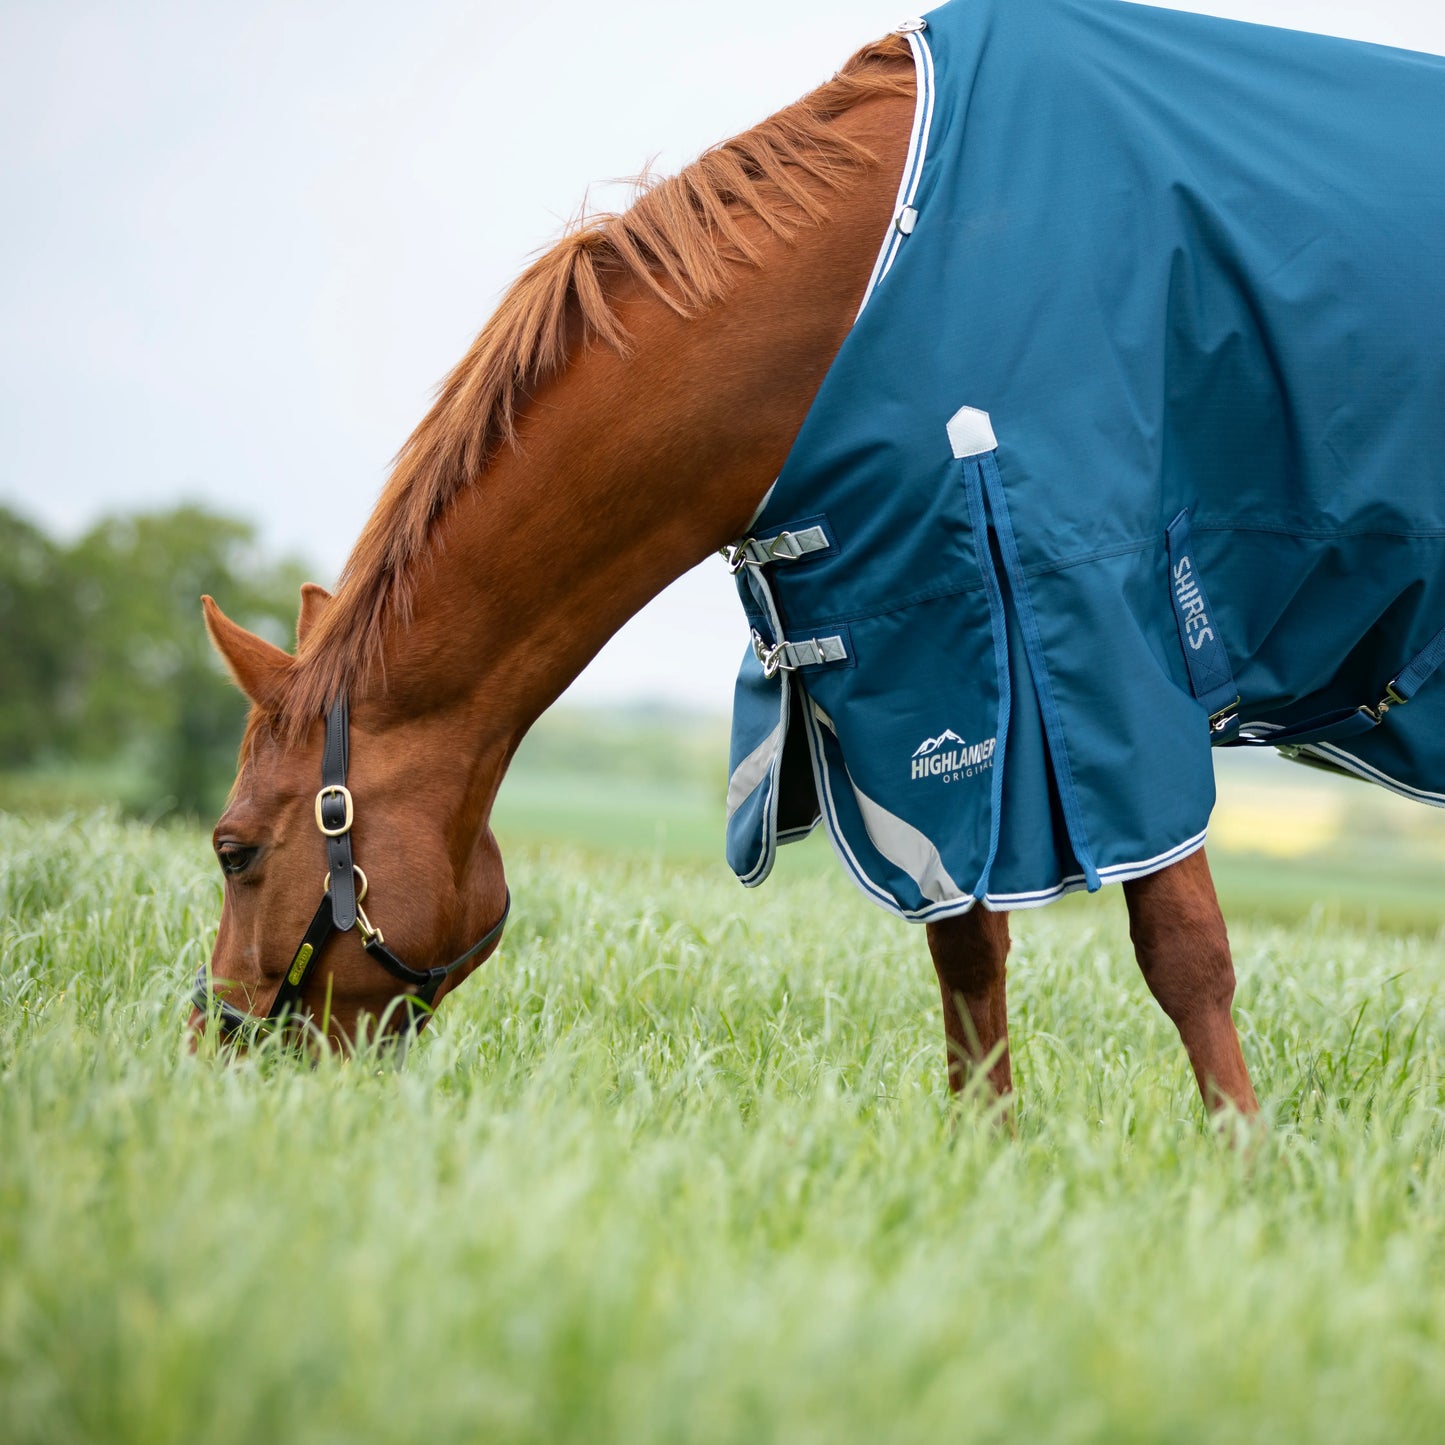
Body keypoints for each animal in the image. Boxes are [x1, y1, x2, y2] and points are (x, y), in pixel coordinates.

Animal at [194, 0, 1445, 1118]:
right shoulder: (925, 657)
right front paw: (980, 1161)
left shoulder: (1095, 633)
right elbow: (966, 955)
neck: (877, 280)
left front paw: (1242, 1161)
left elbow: (1181, 949)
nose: (214, 1050)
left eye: (233, 848)